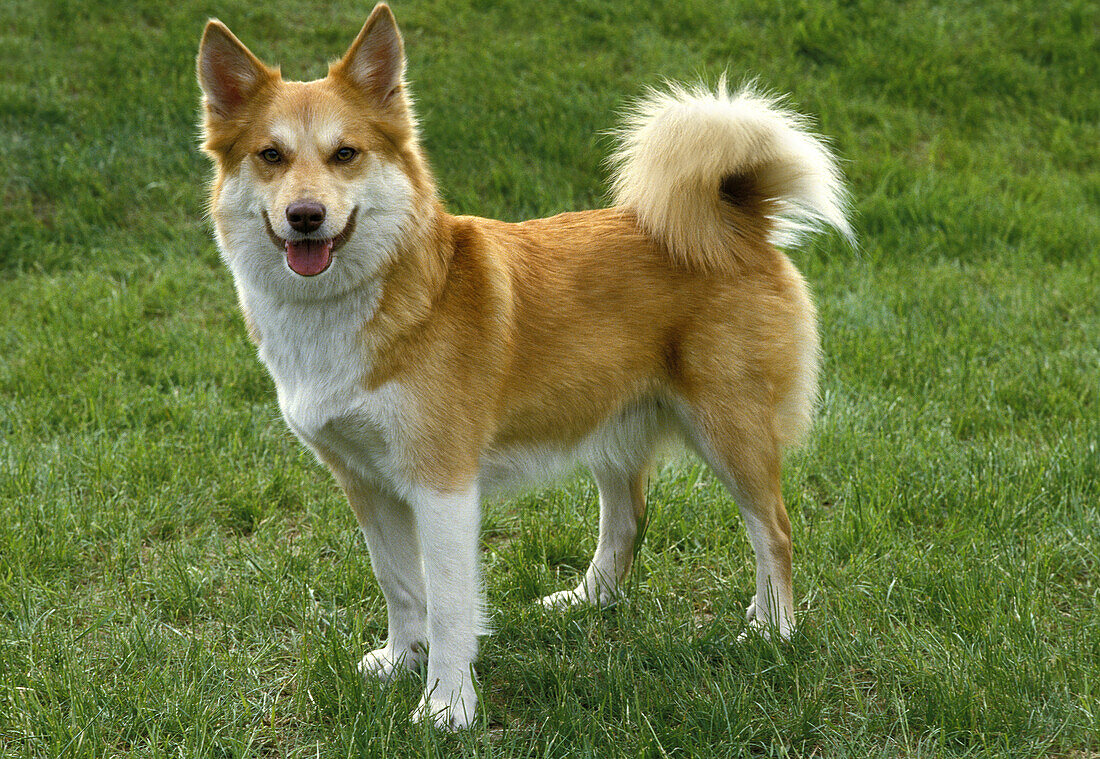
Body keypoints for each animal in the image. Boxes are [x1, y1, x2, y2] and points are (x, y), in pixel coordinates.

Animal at [195, 2, 849, 730]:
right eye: (270, 156)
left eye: (345, 154)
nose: (305, 216)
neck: (356, 302)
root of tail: (738, 217)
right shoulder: (364, 481)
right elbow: (400, 584)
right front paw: (402, 661)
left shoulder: (443, 485)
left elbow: (449, 605)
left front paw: (447, 706)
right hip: (609, 422)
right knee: (629, 518)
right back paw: (588, 600)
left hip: (730, 429)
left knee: (774, 531)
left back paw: (773, 632)